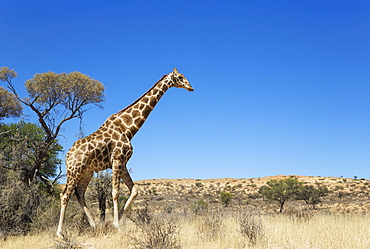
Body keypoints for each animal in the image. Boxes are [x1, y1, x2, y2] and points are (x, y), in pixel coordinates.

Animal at [56, 68, 194, 237]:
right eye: (180, 77)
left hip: (86, 172)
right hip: (74, 170)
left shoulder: (123, 163)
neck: (128, 129)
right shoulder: (117, 159)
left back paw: (94, 226)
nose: (191, 87)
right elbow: (115, 192)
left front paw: (114, 222)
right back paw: (60, 232)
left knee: (79, 194)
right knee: (65, 195)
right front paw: (115, 224)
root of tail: (67, 155)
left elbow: (134, 190)